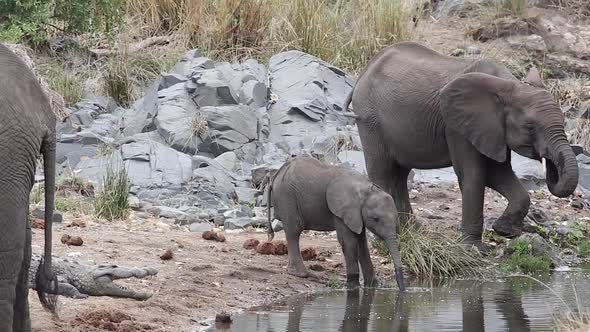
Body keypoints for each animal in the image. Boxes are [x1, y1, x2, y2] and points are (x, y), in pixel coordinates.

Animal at [268, 156, 408, 290]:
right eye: (375, 219)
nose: (402, 290)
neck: (365, 190)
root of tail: (277, 174)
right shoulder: (341, 210)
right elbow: (348, 240)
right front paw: (353, 287)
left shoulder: (355, 214)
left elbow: (362, 241)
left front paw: (372, 285)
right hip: (286, 197)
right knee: (294, 230)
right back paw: (301, 274)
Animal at [344, 41, 580, 249]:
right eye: (530, 127)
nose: (550, 164)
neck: (510, 84)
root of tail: (363, 73)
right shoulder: (456, 126)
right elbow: (474, 174)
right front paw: (473, 248)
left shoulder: (492, 130)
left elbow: (497, 173)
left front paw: (504, 231)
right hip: (370, 119)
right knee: (382, 172)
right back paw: (385, 238)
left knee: (400, 175)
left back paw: (412, 231)